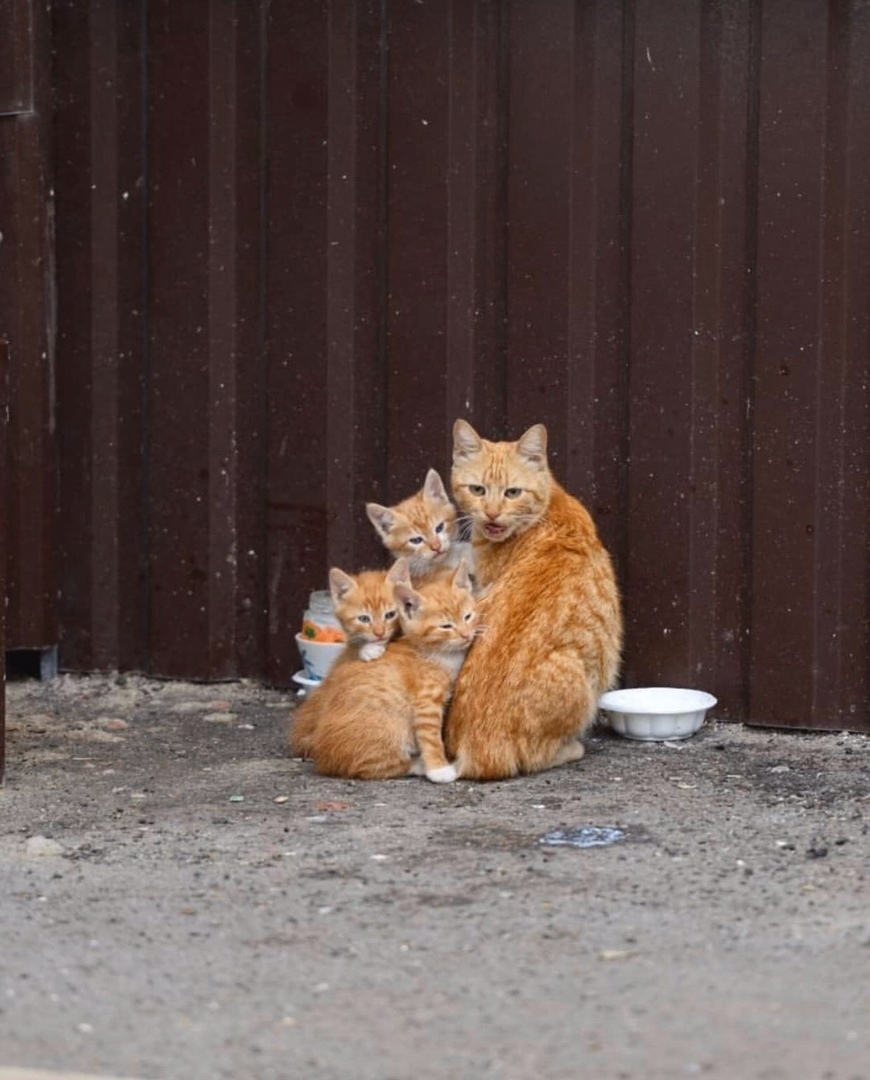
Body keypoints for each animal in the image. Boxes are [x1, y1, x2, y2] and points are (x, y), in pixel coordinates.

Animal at [287, 561, 481, 781]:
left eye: (468, 616)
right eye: (446, 626)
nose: (466, 635)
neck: (439, 653)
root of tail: (323, 758)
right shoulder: (426, 703)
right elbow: (431, 738)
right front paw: (438, 770)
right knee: (380, 766)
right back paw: (419, 765)